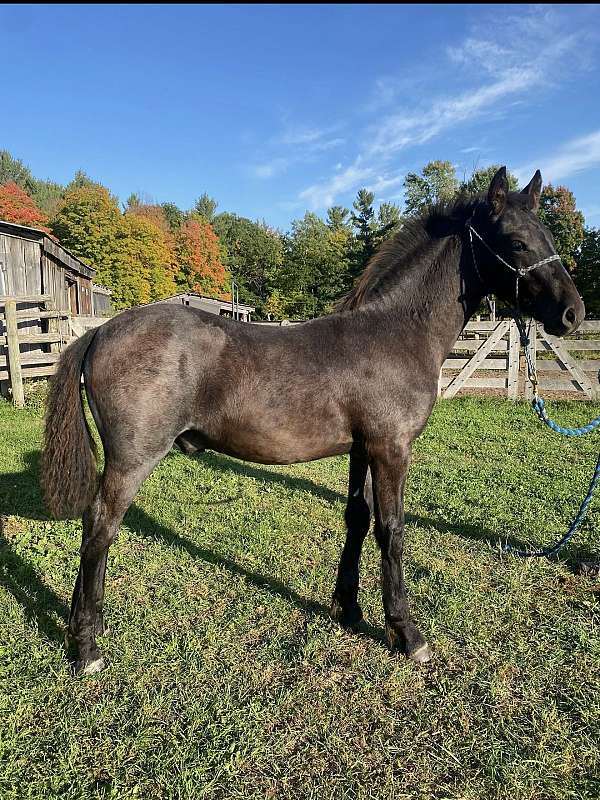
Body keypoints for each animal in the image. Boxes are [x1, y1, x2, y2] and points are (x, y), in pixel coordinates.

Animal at [41, 167, 585, 675]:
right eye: (517, 241)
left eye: (548, 236)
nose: (572, 314)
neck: (394, 332)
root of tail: (100, 331)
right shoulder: (391, 448)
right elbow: (392, 529)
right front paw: (406, 634)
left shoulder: (363, 449)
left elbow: (358, 518)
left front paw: (350, 608)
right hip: (132, 460)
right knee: (99, 527)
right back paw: (87, 647)